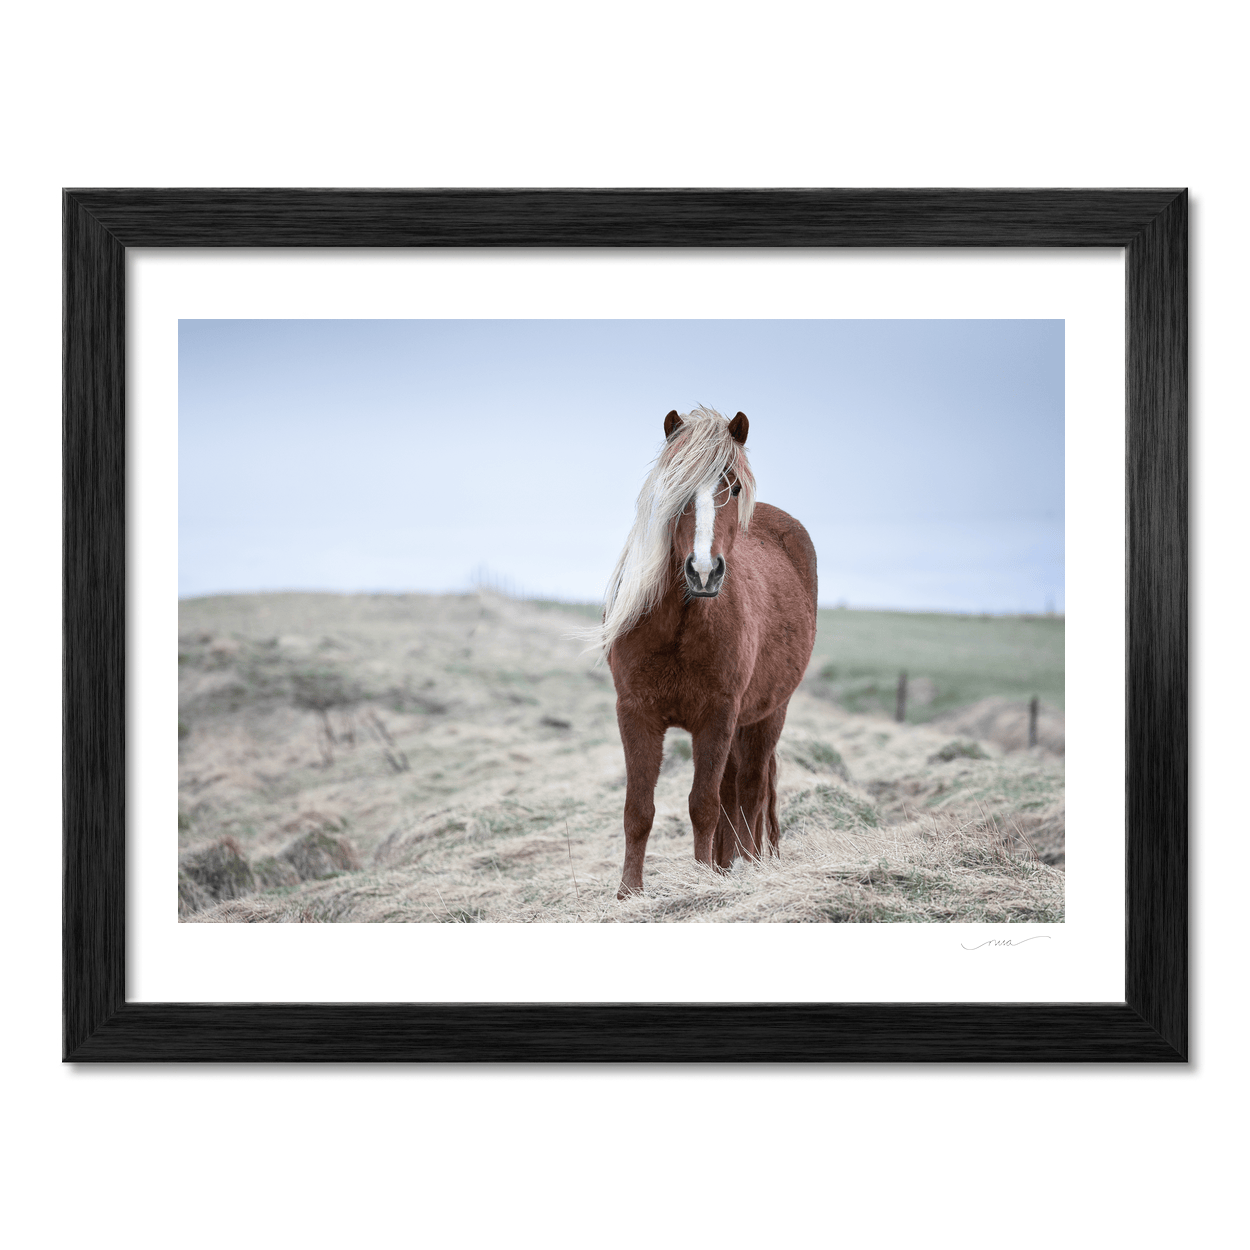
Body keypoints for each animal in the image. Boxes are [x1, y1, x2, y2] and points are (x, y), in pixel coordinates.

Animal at [594, 406, 818, 898]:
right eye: (674, 488)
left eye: (733, 487)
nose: (702, 571)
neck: (681, 623)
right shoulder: (636, 712)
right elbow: (638, 809)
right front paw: (628, 893)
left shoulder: (718, 715)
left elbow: (703, 805)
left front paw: (699, 883)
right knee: (734, 790)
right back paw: (726, 864)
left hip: (766, 714)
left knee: (751, 789)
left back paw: (749, 864)